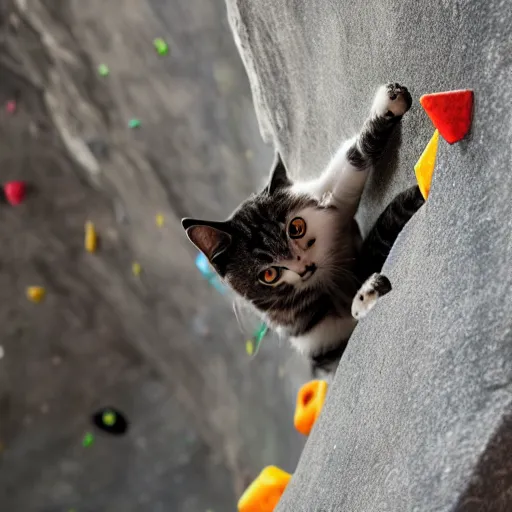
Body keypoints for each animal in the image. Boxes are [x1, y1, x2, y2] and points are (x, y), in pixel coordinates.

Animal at [182, 82, 422, 374]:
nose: (304, 268)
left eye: (296, 228)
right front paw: (365, 295)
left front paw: (389, 104)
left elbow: (352, 160)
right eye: (269, 274)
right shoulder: (321, 348)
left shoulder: (328, 201)